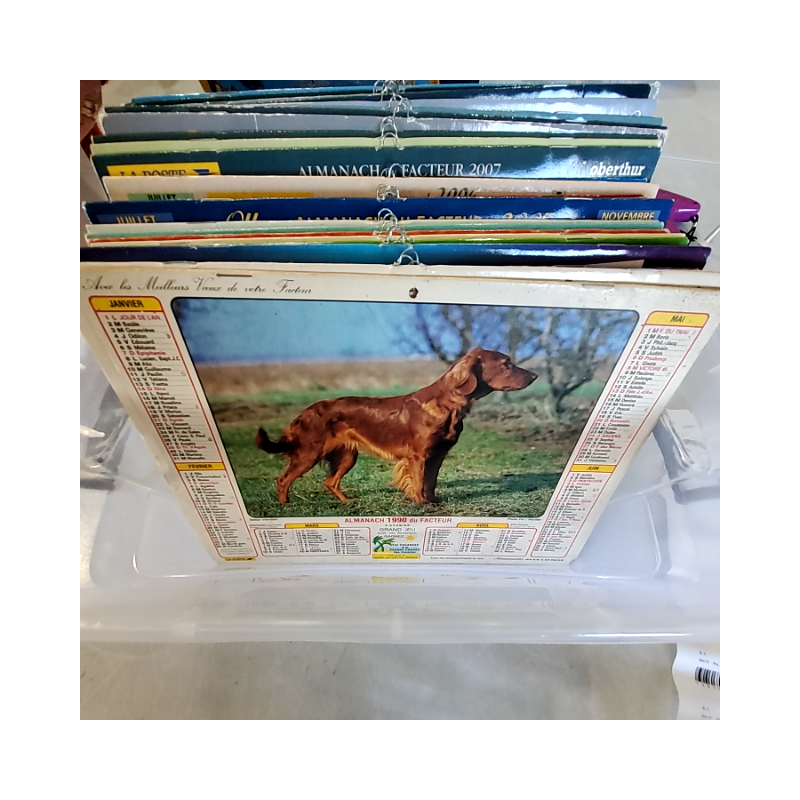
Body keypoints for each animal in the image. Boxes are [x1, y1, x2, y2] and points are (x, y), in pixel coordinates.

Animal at [255, 347, 536, 505]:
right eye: (505, 364)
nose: (535, 375)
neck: (448, 405)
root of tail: (302, 415)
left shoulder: (437, 455)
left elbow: (431, 481)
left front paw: (432, 502)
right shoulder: (418, 455)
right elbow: (419, 481)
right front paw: (421, 504)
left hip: (347, 455)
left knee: (330, 482)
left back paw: (347, 502)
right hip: (309, 453)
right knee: (283, 479)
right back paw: (285, 505)